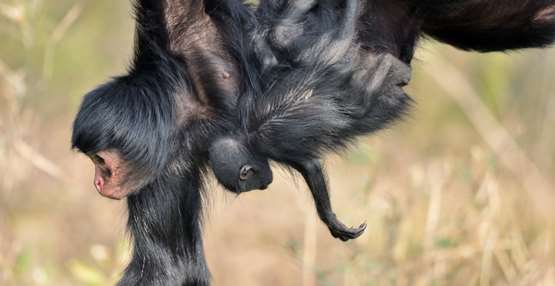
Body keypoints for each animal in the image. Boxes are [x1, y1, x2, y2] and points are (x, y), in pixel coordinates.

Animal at [71, 0, 555, 284]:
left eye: (100, 161)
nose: (98, 182)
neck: (189, 95)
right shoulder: (164, 170)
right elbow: (169, 267)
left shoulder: (183, 29)